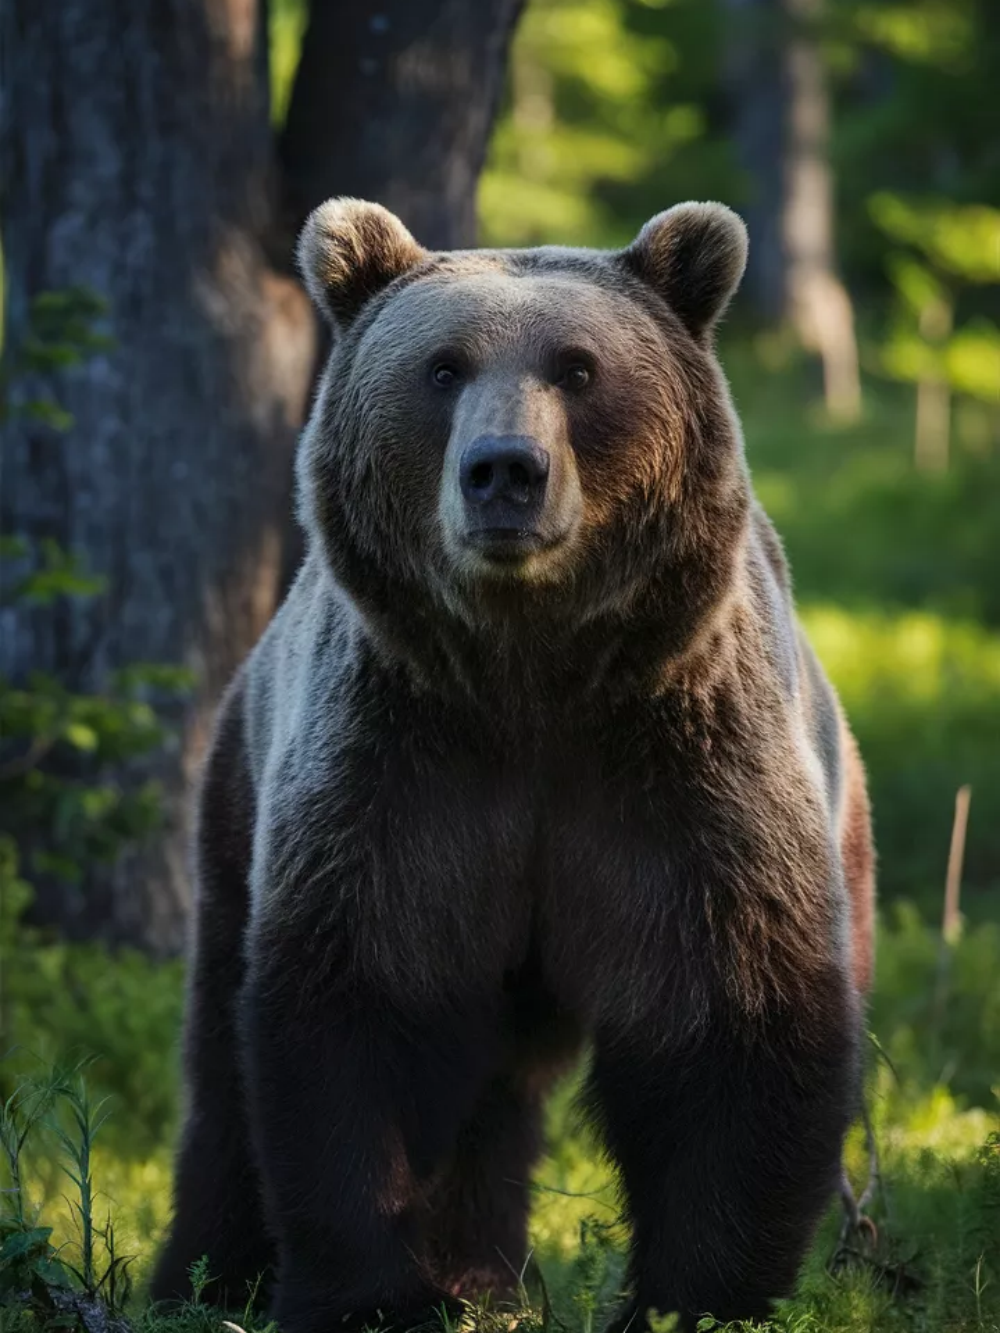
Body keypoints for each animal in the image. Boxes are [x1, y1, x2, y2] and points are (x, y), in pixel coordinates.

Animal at [151, 198, 876, 1333]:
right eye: (442, 367)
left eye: (578, 368)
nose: (504, 470)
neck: (532, 680)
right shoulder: (404, 772)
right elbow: (361, 1005)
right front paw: (373, 1295)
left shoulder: (681, 781)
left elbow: (734, 1022)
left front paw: (692, 1297)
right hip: (240, 792)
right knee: (225, 1067)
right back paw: (213, 1275)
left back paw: (474, 1278)